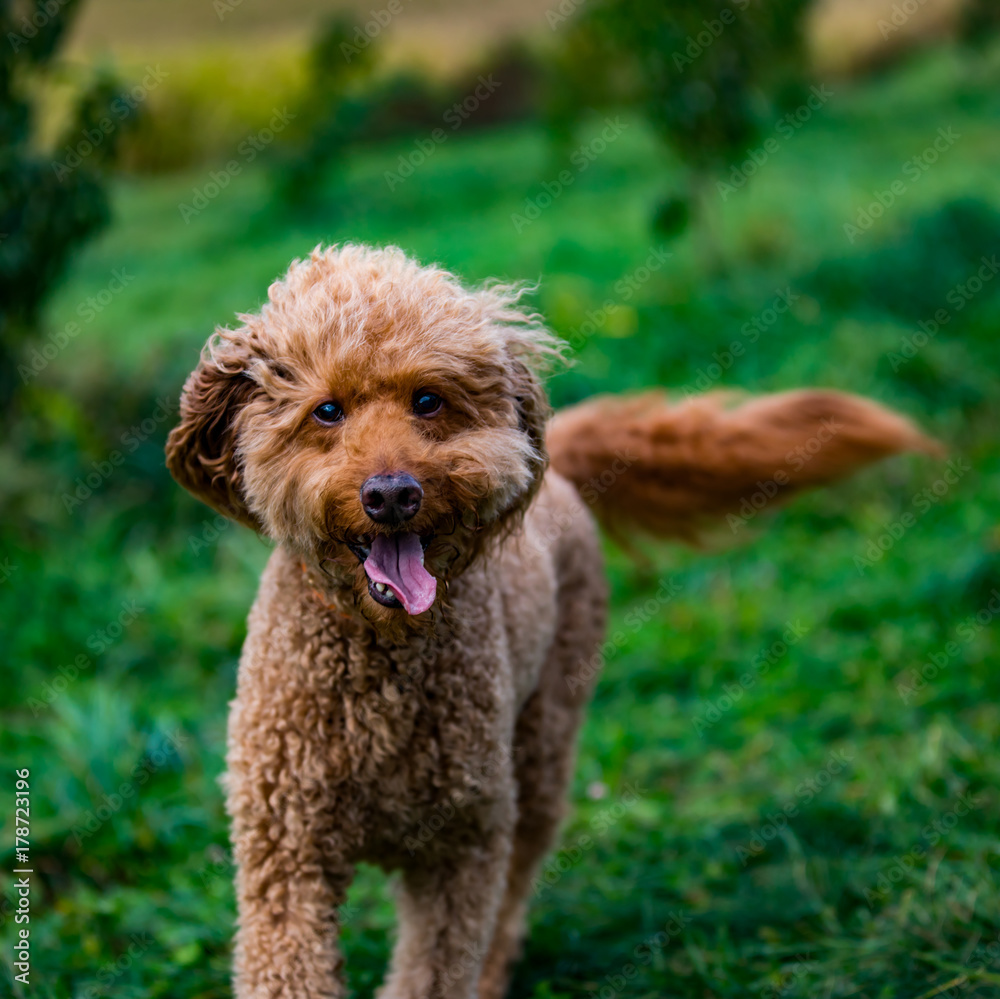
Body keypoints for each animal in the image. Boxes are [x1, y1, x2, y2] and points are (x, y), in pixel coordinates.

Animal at [164, 244, 936, 999]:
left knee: (516, 882)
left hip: (541, 747)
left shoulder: (462, 848)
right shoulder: (285, 859)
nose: (391, 494)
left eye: (428, 399)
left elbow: (443, 961)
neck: (381, 657)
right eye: (326, 411)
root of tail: (556, 467)